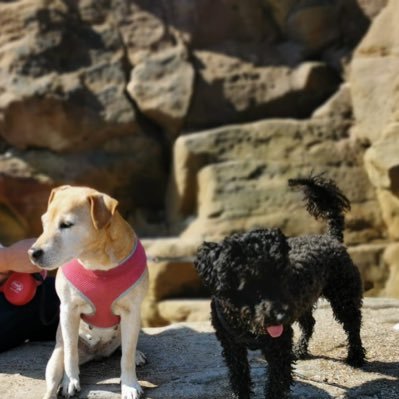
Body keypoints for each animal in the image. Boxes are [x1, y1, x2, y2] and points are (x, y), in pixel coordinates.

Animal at [28, 186, 149, 399]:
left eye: (66, 224)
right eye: (44, 222)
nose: (32, 253)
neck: (97, 262)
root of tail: (96, 354)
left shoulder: (132, 312)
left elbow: (126, 355)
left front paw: (129, 385)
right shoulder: (68, 310)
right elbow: (70, 353)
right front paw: (70, 380)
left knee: (126, 346)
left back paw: (136, 354)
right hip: (55, 359)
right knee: (55, 376)